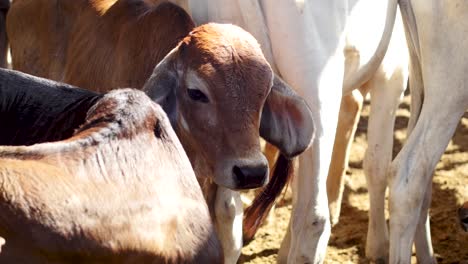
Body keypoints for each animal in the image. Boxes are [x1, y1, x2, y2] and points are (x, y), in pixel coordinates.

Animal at [187, 0, 410, 264]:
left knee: (228, 209)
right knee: (313, 219)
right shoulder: (394, 71)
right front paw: (379, 246)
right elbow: (377, 164)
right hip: (316, 96)